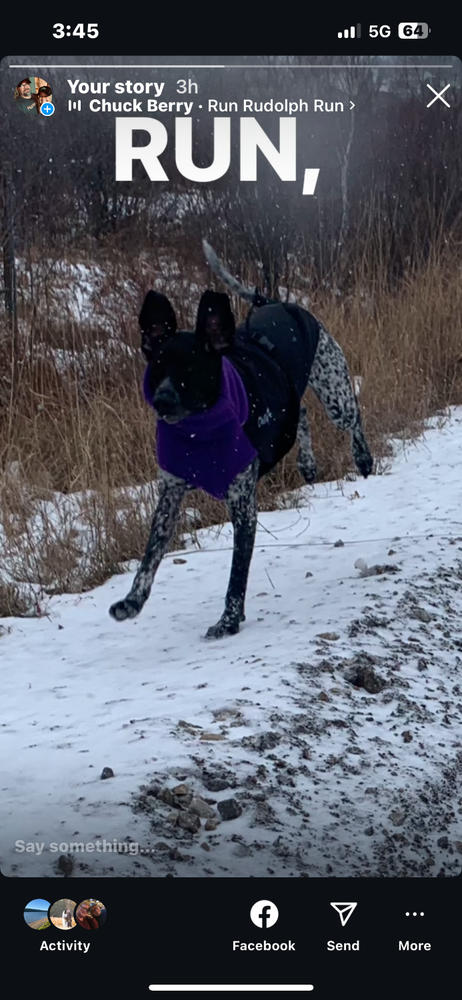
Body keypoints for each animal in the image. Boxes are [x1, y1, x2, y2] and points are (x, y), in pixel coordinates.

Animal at [108, 252, 372, 640]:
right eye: (157, 367)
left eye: (192, 368)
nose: (162, 400)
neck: (199, 431)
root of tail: (273, 301)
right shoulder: (169, 497)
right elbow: (149, 559)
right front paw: (132, 602)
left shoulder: (243, 504)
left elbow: (237, 574)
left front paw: (228, 620)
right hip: (295, 399)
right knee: (302, 412)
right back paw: (307, 463)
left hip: (336, 395)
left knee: (353, 416)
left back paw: (363, 457)